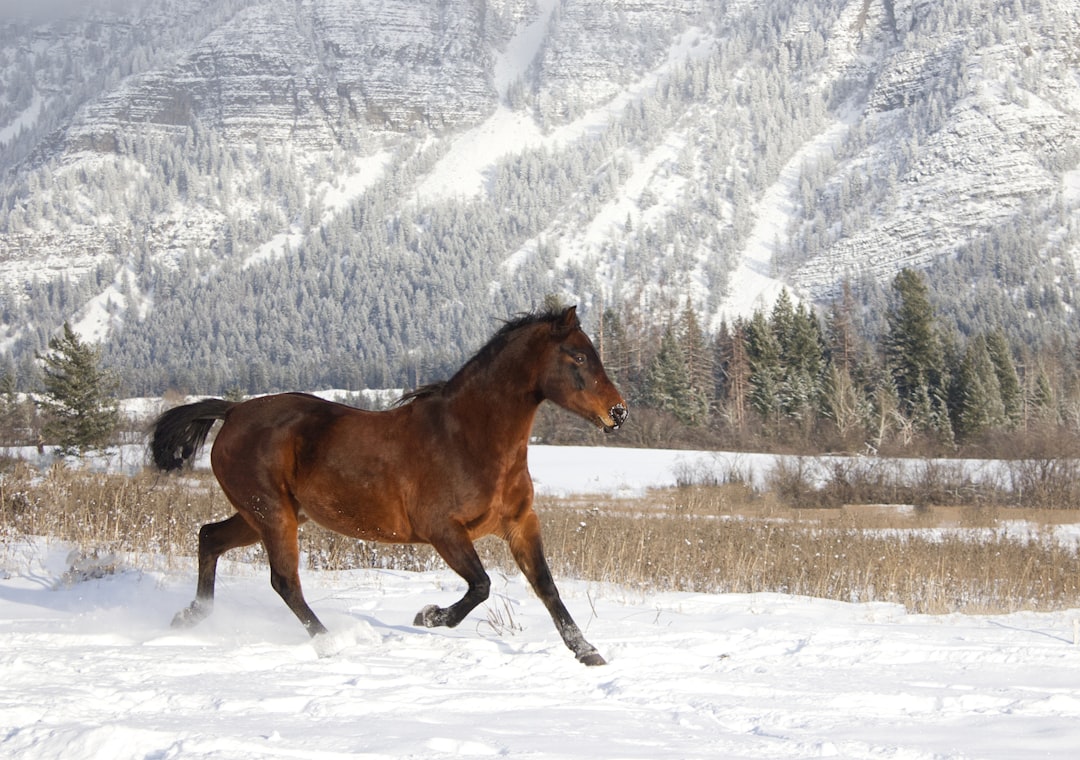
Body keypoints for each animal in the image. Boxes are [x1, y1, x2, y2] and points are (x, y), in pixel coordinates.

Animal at [147, 306, 630, 665]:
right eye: (578, 357)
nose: (618, 412)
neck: (469, 439)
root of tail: (232, 412)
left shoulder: (519, 524)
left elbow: (546, 587)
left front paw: (587, 652)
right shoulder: (443, 531)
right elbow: (481, 585)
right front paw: (428, 616)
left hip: (262, 515)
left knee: (209, 537)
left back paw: (191, 617)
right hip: (272, 514)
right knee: (283, 580)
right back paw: (331, 642)